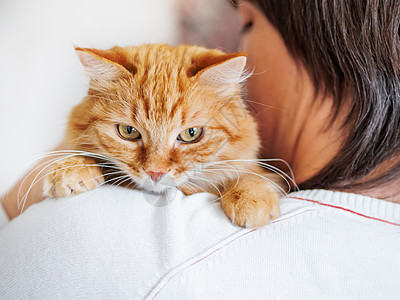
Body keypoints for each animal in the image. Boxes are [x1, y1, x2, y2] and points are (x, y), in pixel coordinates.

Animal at [43, 44, 282, 227]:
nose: (155, 173)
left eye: (191, 134)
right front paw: (71, 168)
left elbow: (250, 175)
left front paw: (250, 199)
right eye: (128, 131)